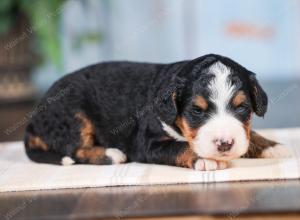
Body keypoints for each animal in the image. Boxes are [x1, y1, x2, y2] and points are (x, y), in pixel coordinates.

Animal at [24, 53, 290, 170]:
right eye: (196, 110)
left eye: (242, 107)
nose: (224, 144)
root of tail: (32, 122)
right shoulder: (146, 143)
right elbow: (180, 147)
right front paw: (204, 158)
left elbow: (249, 134)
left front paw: (272, 146)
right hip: (72, 114)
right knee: (74, 149)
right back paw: (111, 154)